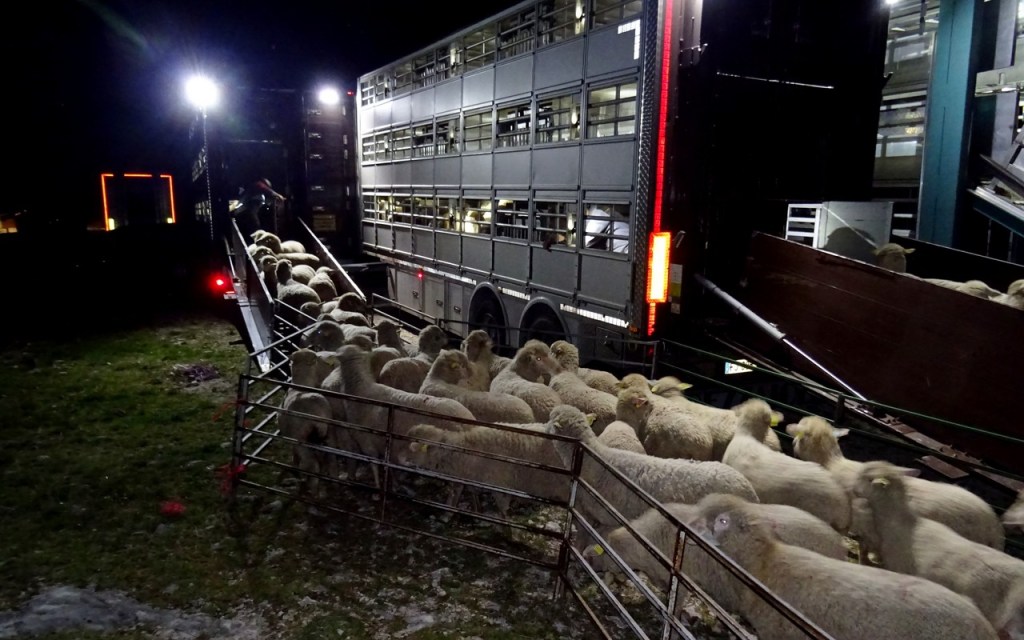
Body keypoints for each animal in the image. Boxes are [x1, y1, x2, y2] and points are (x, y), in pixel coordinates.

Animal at [319, 344, 476, 487]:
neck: (360, 390)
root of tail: (470, 421)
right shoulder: (387, 446)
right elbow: (390, 467)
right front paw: (395, 483)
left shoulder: (367, 443)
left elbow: (374, 466)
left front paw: (378, 487)